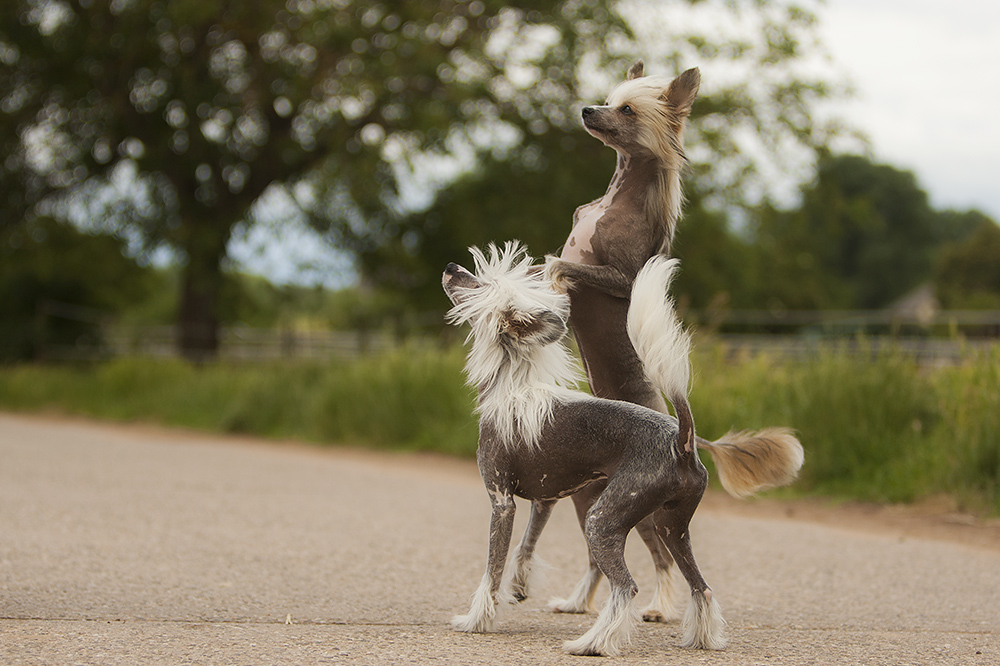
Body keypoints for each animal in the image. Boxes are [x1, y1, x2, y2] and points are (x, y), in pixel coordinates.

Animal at [446, 240, 728, 652]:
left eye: (481, 285)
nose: (451, 267)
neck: (512, 384)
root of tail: (682, 441)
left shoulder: (501, 502)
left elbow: (492, 568)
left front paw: (476, 619)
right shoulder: (544, 502)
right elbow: (524, 548)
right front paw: (519, 586)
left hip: (602, 521)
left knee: (627, 587)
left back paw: (592, 642)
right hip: (670, 525)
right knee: (701, 587)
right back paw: (701, 639)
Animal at [544, 59, 808, 620]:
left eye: (626, 109)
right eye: (609, 99)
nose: (587, 110)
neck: (616, 196)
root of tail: (680, 432)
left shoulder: (620, 278)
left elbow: (562, 265)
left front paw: (551, 281)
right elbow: (548, 260)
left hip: (637, 504)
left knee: (660, 555)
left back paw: (659, 607)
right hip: (585, 494)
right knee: (601, 557)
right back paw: (577, 603)